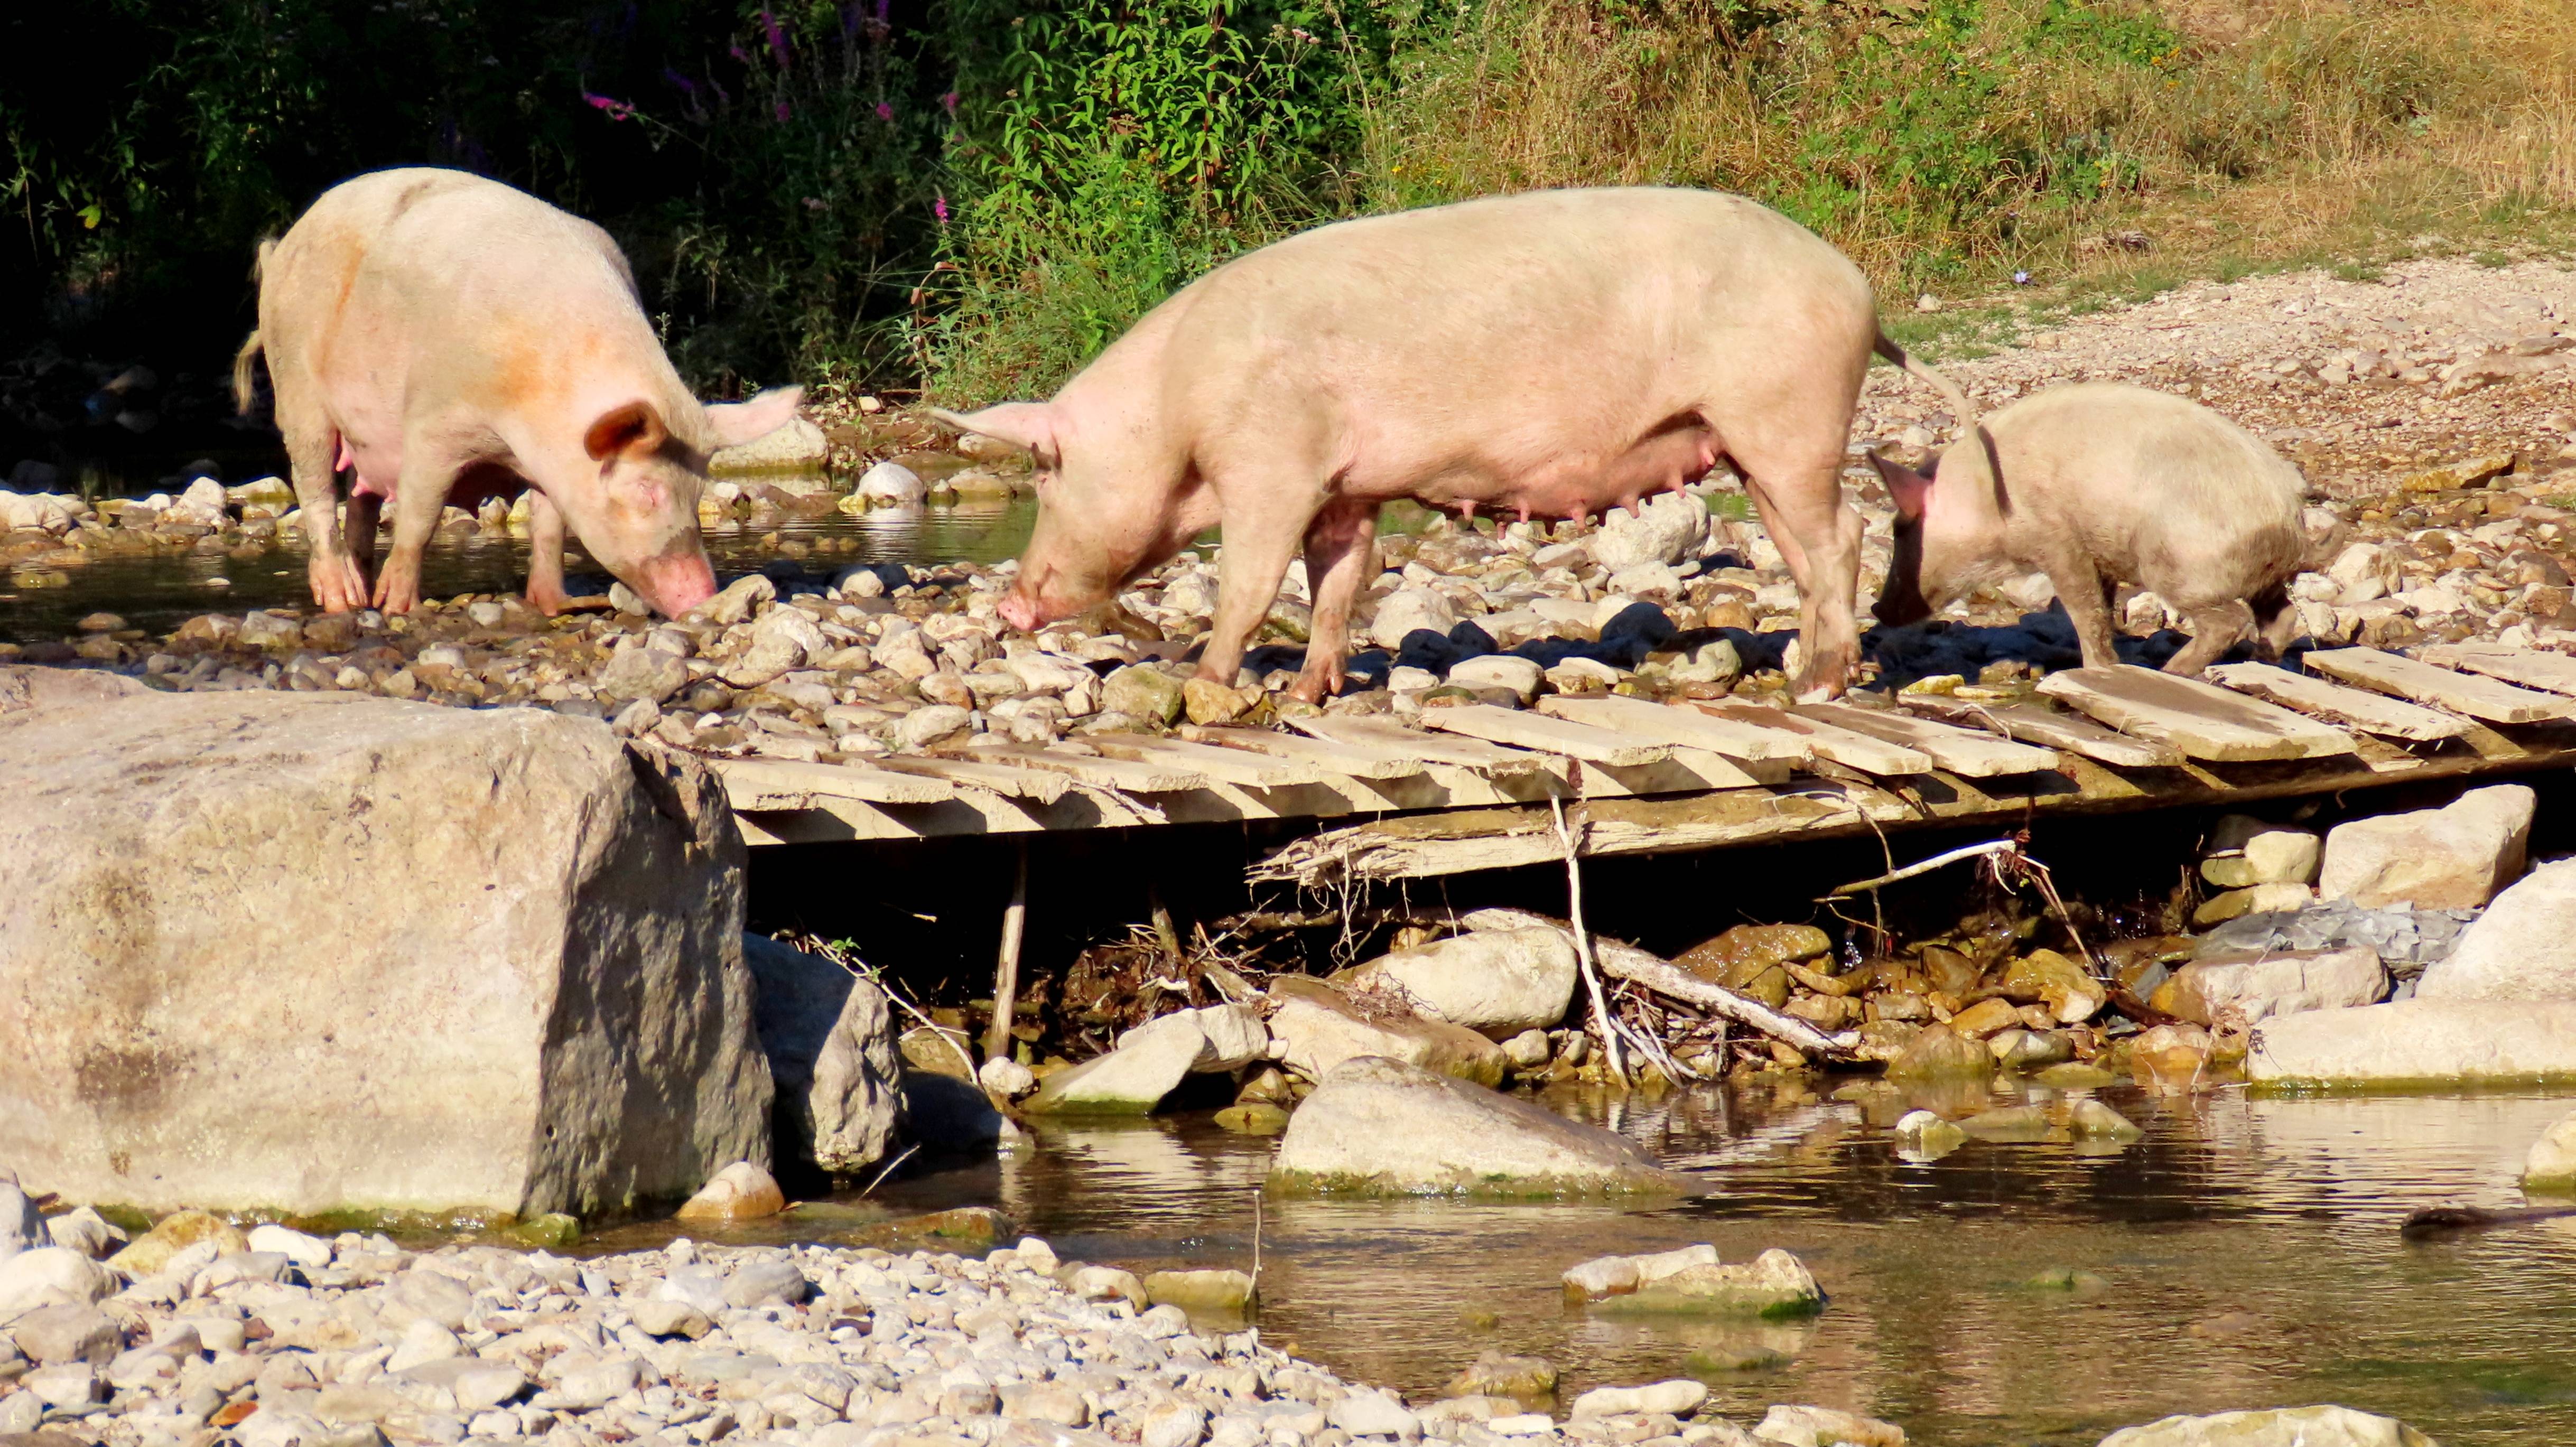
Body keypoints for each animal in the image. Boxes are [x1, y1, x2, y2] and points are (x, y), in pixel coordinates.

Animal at [233, 167, 798, 612]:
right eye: (646, 490)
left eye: (698, 491)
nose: (704, 597)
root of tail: (284, 244)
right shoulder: (435, 423)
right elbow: (420, 515)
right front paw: (401, 608)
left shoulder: (552, 464)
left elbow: (548, 528)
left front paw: (564, 605)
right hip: (296, 387)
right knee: (315, 489)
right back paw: (346, 600)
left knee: (362, 501)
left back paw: (363, 591)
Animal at [1865, 384, 2308, 674]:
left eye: (1900, 527)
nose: (1876, 608)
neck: (1982, 503)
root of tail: (2286, 509)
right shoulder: (2098, 553)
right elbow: (2102, 603)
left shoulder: (2056, 537)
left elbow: (2082, 604)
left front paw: (2097, 668)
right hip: (2261, 574)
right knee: (2281, 613)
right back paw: (2260, 660)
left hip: (2176, 562)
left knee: (2227, 619)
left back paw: (2171, 671)